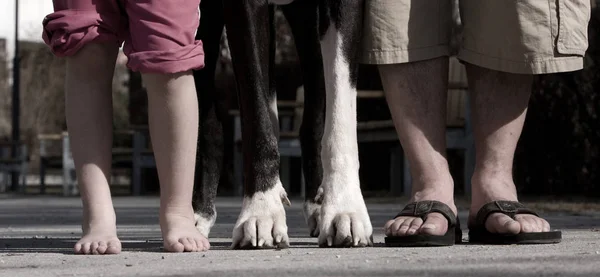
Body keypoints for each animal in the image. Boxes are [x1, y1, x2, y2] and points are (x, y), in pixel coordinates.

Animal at [192, 0, 372, 247]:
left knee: (313, 122)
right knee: (210, 124)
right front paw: (262, 209)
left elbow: (340, 116)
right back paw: (199, 214)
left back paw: (319, 203)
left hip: (307, 27)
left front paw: (344, 209)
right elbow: (257, 114)